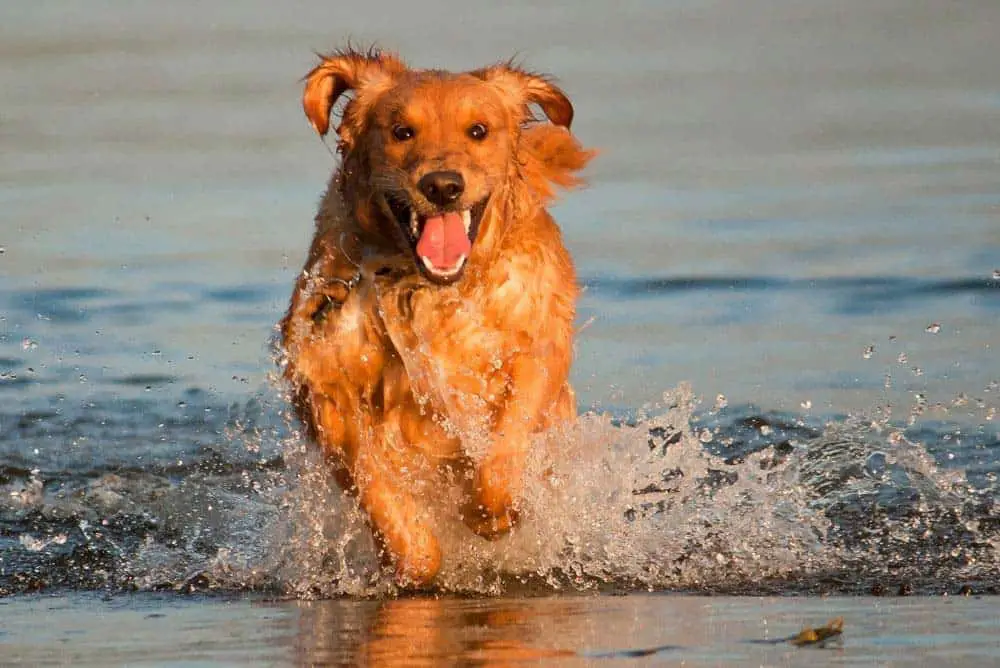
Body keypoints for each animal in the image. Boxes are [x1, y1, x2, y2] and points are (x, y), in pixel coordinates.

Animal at [280, 47, 592, 588]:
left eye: (478, 130)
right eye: (402, 131)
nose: (443, 185)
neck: (427, 288)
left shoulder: (535, 348)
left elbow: (505, 448)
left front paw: (490, 513)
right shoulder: (325, 375)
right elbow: (372, 477)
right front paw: (412, 555)